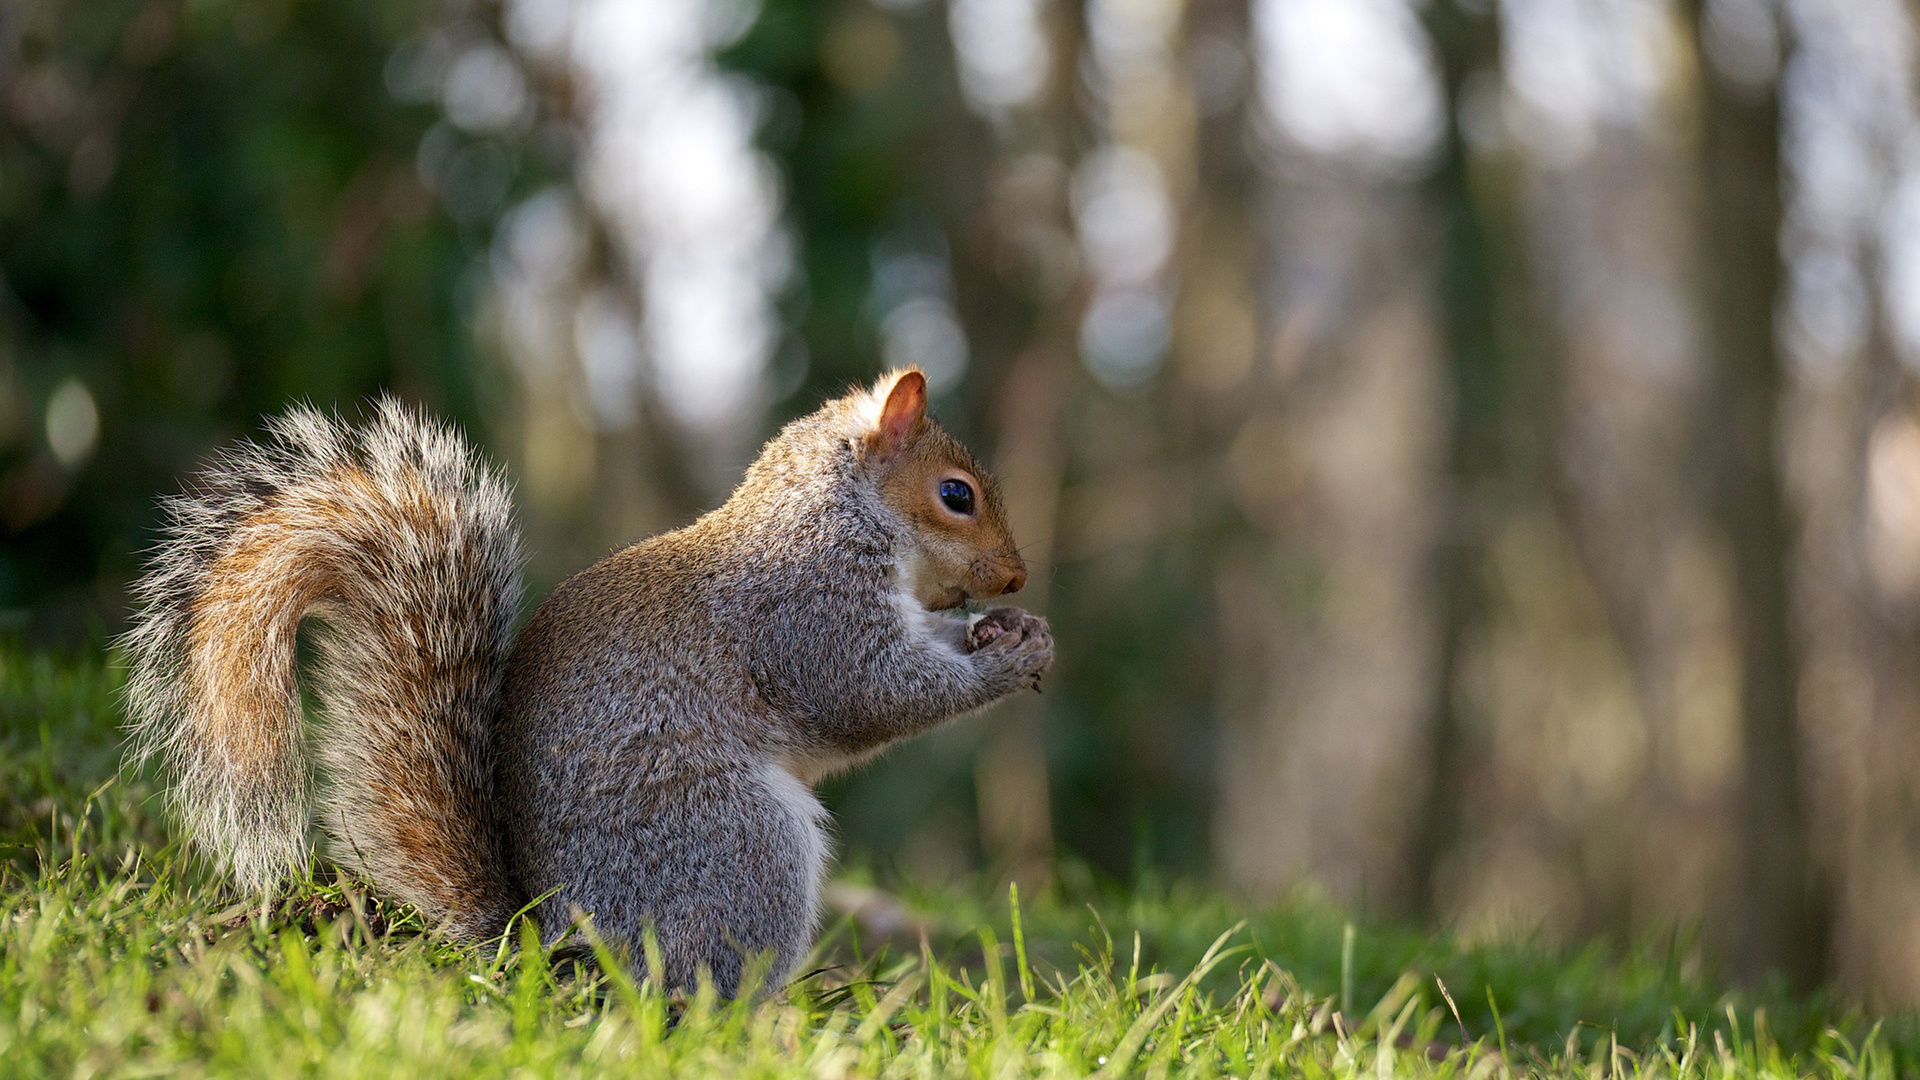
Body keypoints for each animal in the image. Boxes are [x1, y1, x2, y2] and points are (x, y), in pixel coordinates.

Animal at [123, 368, 1052, 991]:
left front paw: (1016, 633)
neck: (839, 514)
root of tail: (546, 949)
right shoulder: (808, 611)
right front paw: (1008, 659)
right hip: (733, 844)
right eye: (956, 495)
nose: (1014, 578)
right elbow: (872, 693)